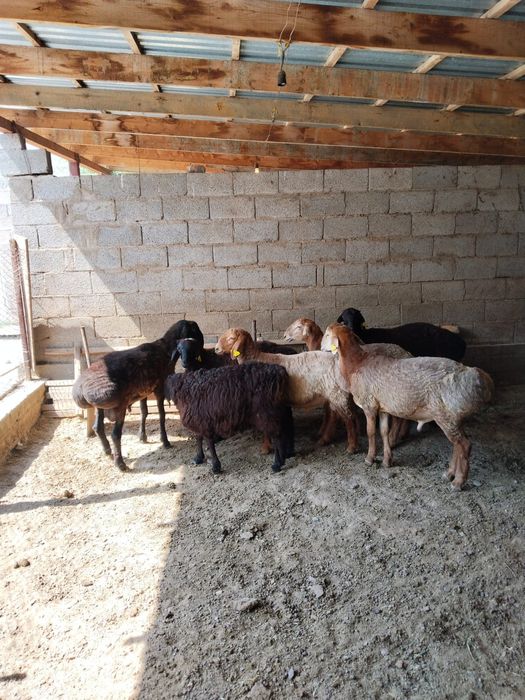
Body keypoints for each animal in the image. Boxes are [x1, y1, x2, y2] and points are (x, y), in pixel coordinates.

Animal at [72, 319, 203, 471]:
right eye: (195, 329)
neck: (165, 349)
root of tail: (80, 388)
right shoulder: (160, 388)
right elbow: (162, 415)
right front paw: (165, 441)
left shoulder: (143, 392)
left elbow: (144, 412)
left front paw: (142, 437)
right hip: (120, 405)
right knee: (115, 434)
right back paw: (120, 463)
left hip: (100, 407)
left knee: (98, 427)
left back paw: (107, 451)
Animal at [164, 363, 294, 473]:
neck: (185, 390)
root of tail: (279, 371)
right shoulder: (200, 420)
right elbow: (199, 438)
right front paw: (198, 458)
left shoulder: (203, 421)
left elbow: (208, 442)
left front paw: (215, 466)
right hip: (279, 410)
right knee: (285, 429)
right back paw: (285, 456)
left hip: (267, 413)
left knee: (277, 436)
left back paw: (277, 464)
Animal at [322, 323, 493, 489]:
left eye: (327, 334)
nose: (321, 348)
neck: (357, 364)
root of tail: (474, 375)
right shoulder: (382, 407)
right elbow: (384, 432)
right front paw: (387, 460)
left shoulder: (368, 404)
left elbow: (371, 432)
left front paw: (370, 458)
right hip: (453, 417)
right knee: (458, 446)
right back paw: (449, 474)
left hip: (445, 416)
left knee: (464, 445)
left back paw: (458, 482)